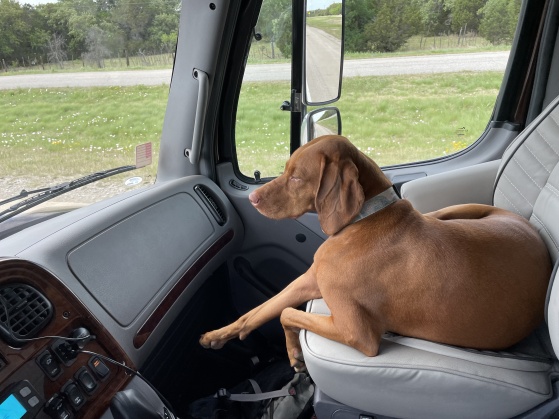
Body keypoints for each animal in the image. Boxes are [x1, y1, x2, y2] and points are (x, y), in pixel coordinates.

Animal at [200, 135, 552, 370]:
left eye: (298, 176)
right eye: (285, 169)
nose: (253, 198)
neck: (364, 218)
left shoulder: (358, 333)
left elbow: (287, 313)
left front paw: (295, 354)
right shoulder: (309, 280)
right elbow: (261, 310)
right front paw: (217, 335)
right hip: (453, 211)